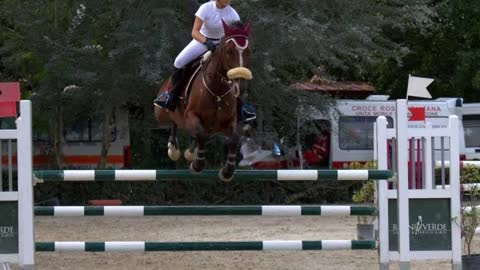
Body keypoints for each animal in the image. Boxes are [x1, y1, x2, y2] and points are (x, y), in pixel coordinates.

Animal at [155, 20, 253, 181]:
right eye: (228, 51)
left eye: (248, 51)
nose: (241, 85)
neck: (217, 91)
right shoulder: (191, 116)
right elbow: (201, 134)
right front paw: (197, 164)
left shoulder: (230, 121)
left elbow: (234, 138)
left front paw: (227, 171)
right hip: (161, 113)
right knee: (174, 121)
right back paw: (174, 149)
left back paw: (189, 151)